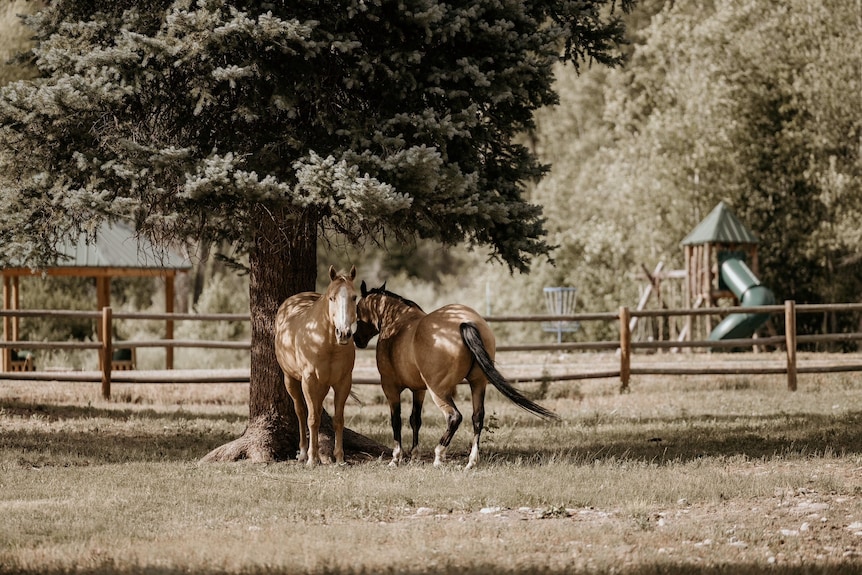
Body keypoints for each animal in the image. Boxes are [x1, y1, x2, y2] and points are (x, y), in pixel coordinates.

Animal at [275, 265, 357, 466]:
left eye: (354, 297)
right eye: (332, 298)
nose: (343, 333)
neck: (327, 343)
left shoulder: (343, 382)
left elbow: (338, 419)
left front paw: (339, 457)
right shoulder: (309, 381)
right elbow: (312, 419)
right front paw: (312, 459)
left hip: (323, 385)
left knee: (317, 410)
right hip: (291, 380)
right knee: (301, 412)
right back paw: (304, 452)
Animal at [354, 281, 558, 469]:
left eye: (357, 310)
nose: (357, 339)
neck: (398, 323)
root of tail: (465, 322)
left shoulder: (390, 387)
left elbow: (396, 420)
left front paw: (396, 458)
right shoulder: (419, 390)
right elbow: (415, 420)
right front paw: (414, 456)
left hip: (438, 391)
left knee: (454, 417)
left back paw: (439, 456)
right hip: (478, 383)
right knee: (477, 417)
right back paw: (471, 461)